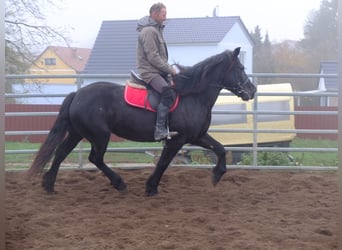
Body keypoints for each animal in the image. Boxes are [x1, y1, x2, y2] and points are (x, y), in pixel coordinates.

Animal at [28, 46, 255, 195]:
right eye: (241, 68)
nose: (252, 90)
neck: (193, 95)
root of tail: (77, 94)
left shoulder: (197, 136)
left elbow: (220, 149)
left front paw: (217, 175)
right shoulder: (177, 140)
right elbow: (163, 163)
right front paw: (151, 187)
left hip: (78, 132)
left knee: (61, 152)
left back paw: (49, 185)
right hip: (99, 135)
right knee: (95, 158)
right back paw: (119, 183)